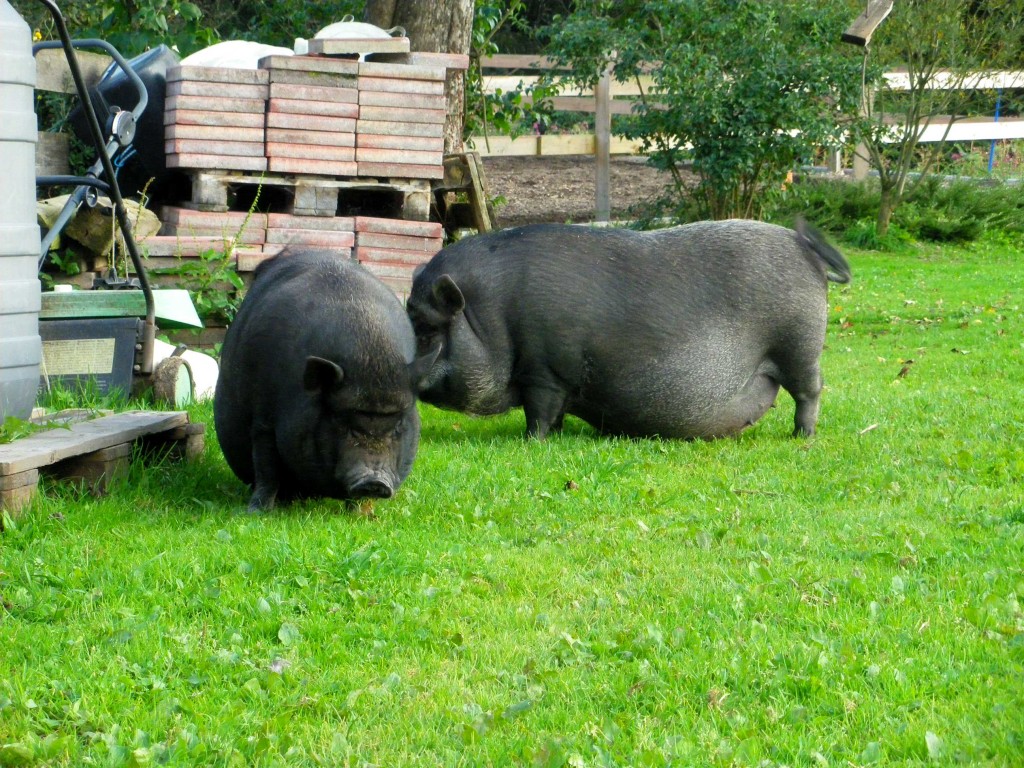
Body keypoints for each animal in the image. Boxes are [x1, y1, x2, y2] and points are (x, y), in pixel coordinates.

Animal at [405, 219, 847, 442]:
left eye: (426, 327)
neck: (490, 319)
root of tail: (805, 248)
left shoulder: (545, 371)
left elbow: (540, 412)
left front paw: (533, 441)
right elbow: (555, 414)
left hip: (799, 344)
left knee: (811, 390)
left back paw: (802, 436)